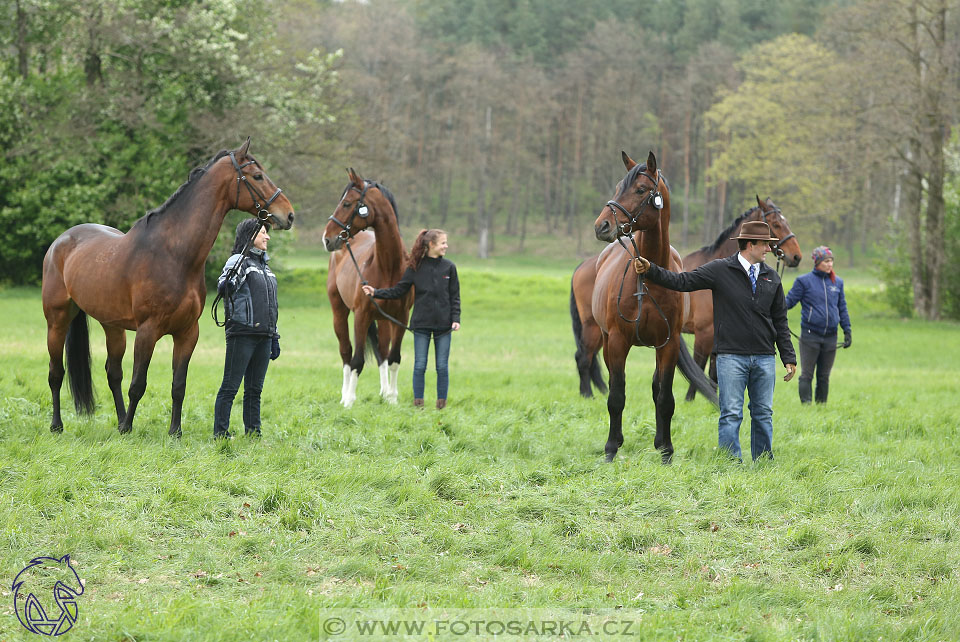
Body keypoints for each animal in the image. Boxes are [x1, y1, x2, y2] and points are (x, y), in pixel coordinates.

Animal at [41, 136, 294, 436]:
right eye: (257, 176)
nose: (289, 215)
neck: (174, 255)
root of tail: (61, 241)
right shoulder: (147, 331)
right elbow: (138, 384)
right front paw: (131, 428)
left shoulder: (187, 333)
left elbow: (178, 386)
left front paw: (174, 432)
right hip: (57, 321)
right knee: (56, 373)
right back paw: (58, 425)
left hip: (113, 326)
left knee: (113, 373)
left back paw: (119, 421)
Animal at [322, 165, 412, 404]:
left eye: (346, 203)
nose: (327, 238)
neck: (389, 266)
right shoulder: (361, 315)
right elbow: (357, 360)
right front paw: (349, 402)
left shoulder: (400, 318)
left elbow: (394, 358)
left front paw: (392, 399)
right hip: (340, 313)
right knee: (346, 352)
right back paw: (344, 395)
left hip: (383, 320)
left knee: (382, 353)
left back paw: (384, 392)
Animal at [588, 150, 716, 460]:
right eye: (618, 187)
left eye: (641, 190)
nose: (602, 225)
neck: (648, 280)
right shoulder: (618, 341)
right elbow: (616, 396)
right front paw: (611, 449)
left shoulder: (668, 344)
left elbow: (665, 397)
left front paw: (666, 450)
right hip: (606, 341)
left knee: (657, 387)